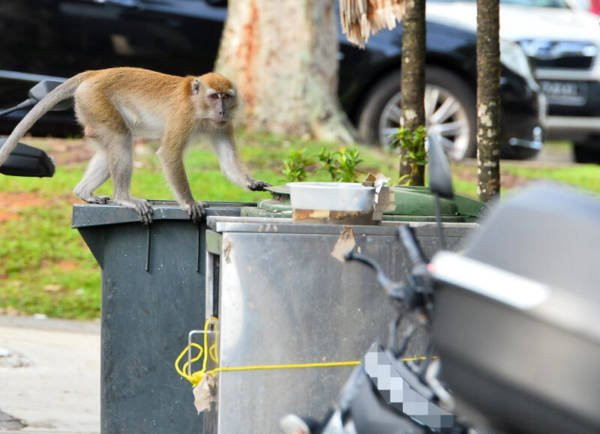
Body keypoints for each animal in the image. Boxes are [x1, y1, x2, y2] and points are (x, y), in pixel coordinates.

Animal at [0, 68, 270, 224]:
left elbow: (228, 161)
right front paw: (189, 202)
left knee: (111, 145)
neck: (200, 109)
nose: (222, 110)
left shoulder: (222, 125)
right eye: (215, 96)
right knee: (121, 139)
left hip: (89, 108)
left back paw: (84, 192)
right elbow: (169, 154)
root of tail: (95, 73)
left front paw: (252, 182)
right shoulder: (183, 116)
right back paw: (123, 198)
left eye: (227, 97)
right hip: (96, 100)